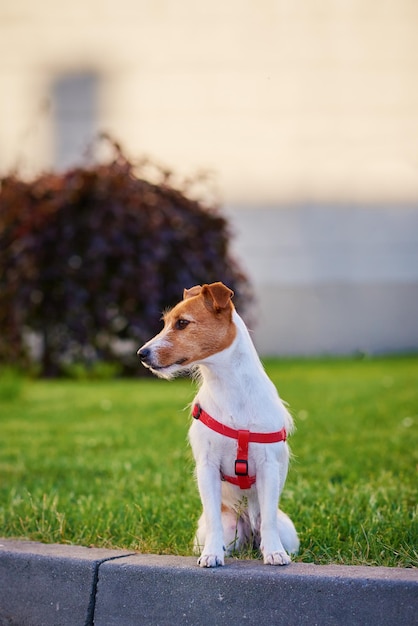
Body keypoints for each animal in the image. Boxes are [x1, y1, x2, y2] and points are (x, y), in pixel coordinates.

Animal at [139, 280, 298, 564]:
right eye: (165, 323)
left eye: (182, 323)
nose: (141, 354)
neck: (230, 389)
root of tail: (248, 530)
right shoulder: (207, 467)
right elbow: (213, 517)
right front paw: (213, 554)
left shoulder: (268, 467)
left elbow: (268, 518)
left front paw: (274, 552)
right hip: (218, 530)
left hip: (288, 531)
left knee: (266, 524)